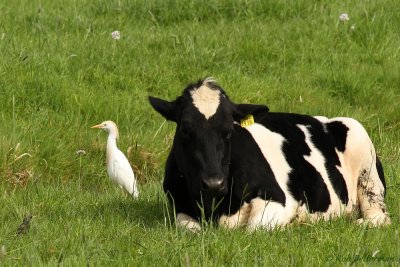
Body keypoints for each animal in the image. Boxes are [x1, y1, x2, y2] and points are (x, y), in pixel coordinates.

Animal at [148, 78, 390, 232]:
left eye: (229, 131)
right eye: (184, 129)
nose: (213, 183)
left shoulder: (278, 198)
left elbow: (253, 229)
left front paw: (295, 222)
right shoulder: (178, 206)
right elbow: (189, 229)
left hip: (366, 164)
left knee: (379, 216)